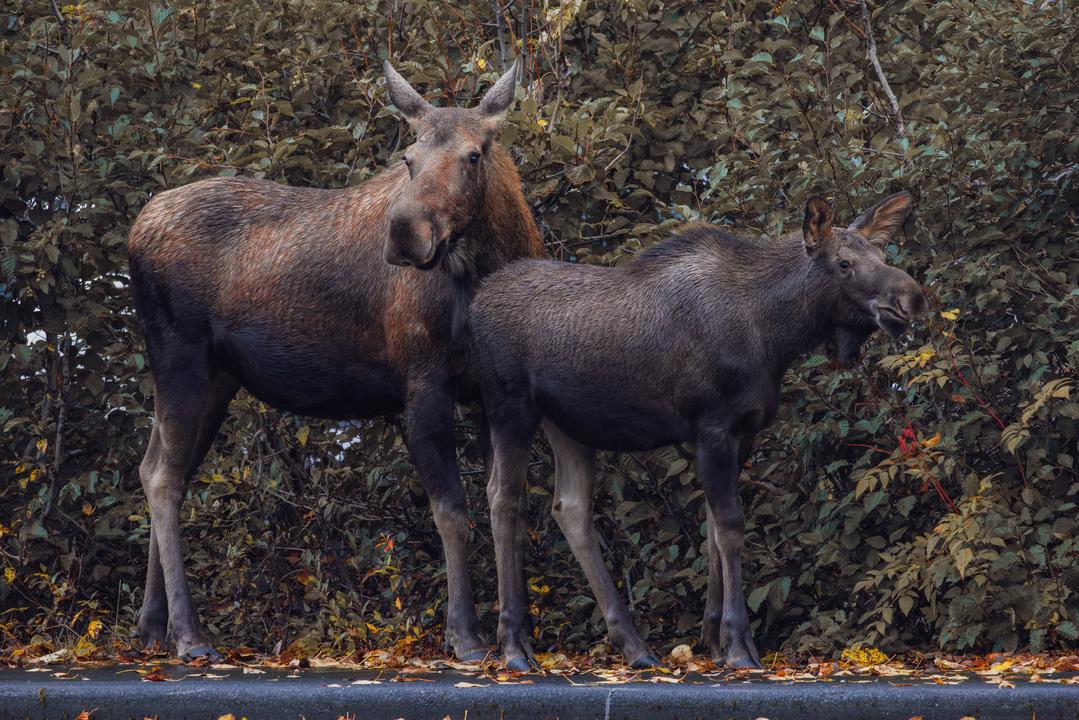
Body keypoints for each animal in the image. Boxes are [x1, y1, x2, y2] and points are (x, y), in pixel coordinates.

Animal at [126, 59, 543, 662]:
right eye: (408, 158)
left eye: (473, 154)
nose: (405, 232)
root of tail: (136, 229)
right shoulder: (422, 383)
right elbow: (452, 513)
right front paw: (465, 635)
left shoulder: (499, 392)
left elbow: (505, 504)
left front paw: (518, 640)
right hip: (178, 358)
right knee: (162, 476)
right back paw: (189, 634)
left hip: (216, 379)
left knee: (158, 467)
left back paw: (151, 625)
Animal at [468, 192, 927, 670]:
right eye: (843, 262)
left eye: (882, 254)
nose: (910, 297)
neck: (775, 334)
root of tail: (474, 304)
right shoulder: (713, 427)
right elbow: (730, 526)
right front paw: (738, 644)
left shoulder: (743, 431)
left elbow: (711, 530)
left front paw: (713, 640)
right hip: (508, 408)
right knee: (503, 499)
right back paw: (514, 646)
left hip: (568, 424)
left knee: (569, 507)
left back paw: (634, 645)